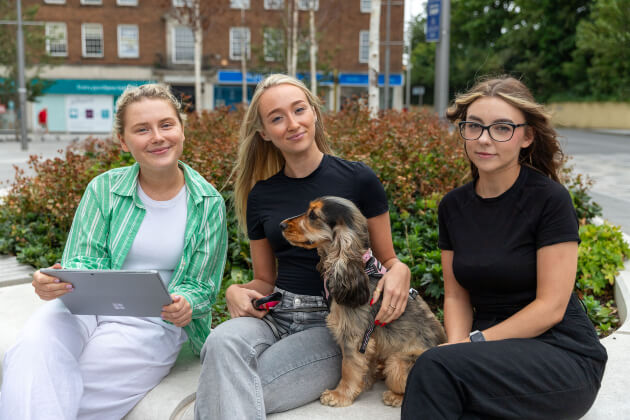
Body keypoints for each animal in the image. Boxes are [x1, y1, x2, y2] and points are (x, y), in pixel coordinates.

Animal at [282, 197, 450, 406]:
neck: (358, 267)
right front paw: (365, 381)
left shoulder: (353, 335)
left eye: (312, 215)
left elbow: (348, 366)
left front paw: (339, 394)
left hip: (397, 362)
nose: (281, 225)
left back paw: (394, 396)